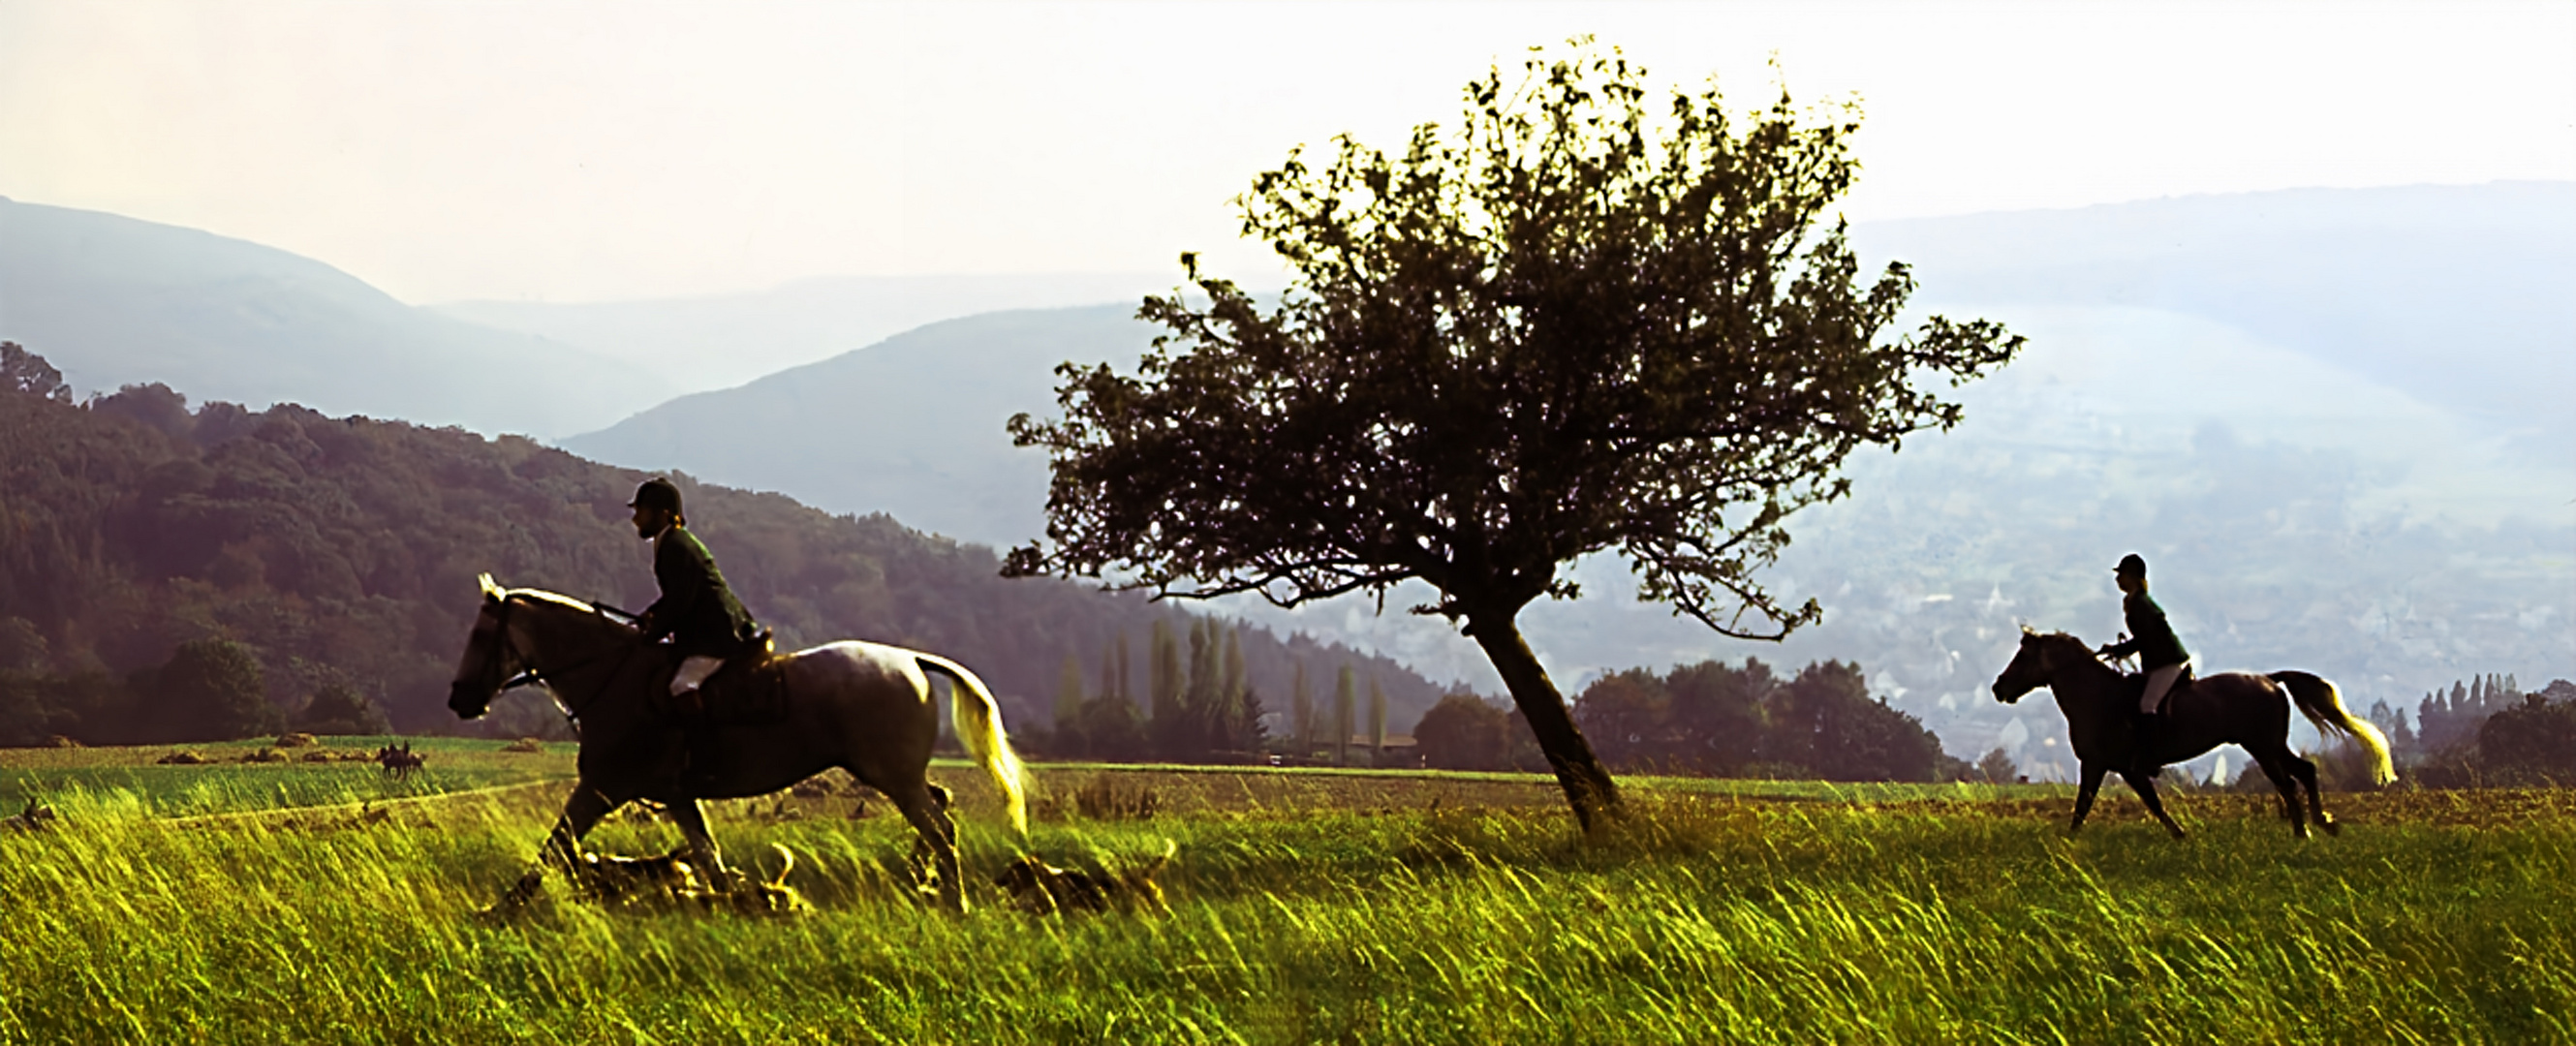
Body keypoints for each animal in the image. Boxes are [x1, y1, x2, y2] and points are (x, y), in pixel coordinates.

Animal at [448, 576, 1019, 911]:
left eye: (480, 637)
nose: (459, 700)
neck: (613, 676)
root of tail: (912, 661)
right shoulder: (678, 797)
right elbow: (710, 859)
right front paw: (742, 900)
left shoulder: (601, 787)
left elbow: (553, 847)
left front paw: (497, 912)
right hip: (894, 773)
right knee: (941, 806)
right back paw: (924, 876)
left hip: (888, 774)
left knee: (940, 826)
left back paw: (952, 898)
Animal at [1988, 629, 2390, 840]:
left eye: (2022, 658)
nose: (1998, 687)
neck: (2097, 697)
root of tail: (2268, 679)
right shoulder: (2110, 766)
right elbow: (2113, 805)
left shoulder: (2109, 764)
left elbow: (2101, 804)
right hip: (2270, 745)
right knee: (2303, 771)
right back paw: (2320, 824)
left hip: (2262, 745)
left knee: (2288, 782)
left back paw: (2304, 830)